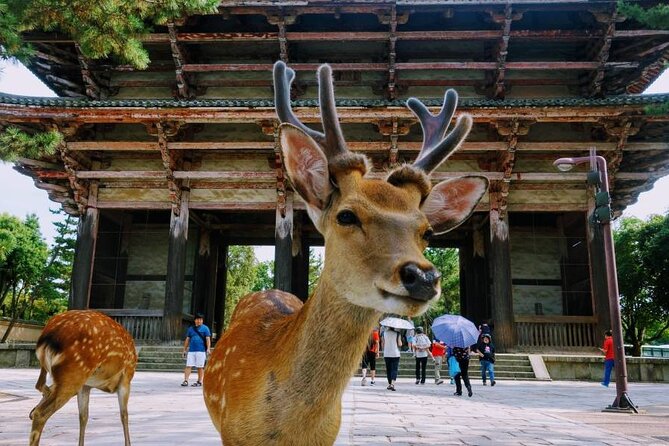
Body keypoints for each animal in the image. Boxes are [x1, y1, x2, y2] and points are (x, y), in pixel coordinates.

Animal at [28, 310, 137, 446]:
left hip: (59, 372)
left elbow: (83, 416)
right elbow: (124, 415)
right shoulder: (126, 378)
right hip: (74, 372)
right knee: (41, 412)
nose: (29, 414)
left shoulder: (86, 385)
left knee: (40, 386)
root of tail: (48, 336)